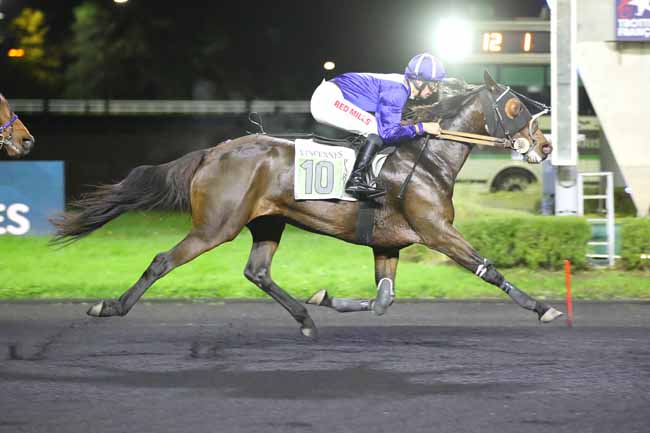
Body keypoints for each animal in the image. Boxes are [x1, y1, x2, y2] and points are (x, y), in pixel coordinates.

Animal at [50, 71, 560, 338]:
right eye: (515, 108)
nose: (546, 146)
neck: (426, 160)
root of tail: (213, 152)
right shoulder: (437, 232)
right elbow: (487, 269)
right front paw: (542, 307)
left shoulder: (389, 244)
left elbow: (383, 301)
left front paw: (325, 297)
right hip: (216, 226)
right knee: (161, 260)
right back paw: (110, 308)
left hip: (268, 222)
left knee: (257, 272)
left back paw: (306, 317)